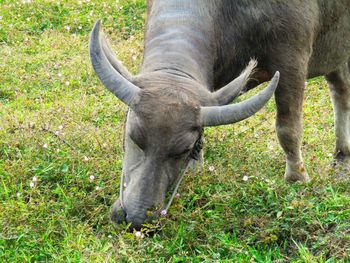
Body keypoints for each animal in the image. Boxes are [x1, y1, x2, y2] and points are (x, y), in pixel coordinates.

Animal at [89, 1, 350, 230]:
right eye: (132, 136)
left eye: (183, 149)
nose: (135, 217)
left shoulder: (292, 60)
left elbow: (288, 128)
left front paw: (296, 179)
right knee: (341, 89)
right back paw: (342, 155)